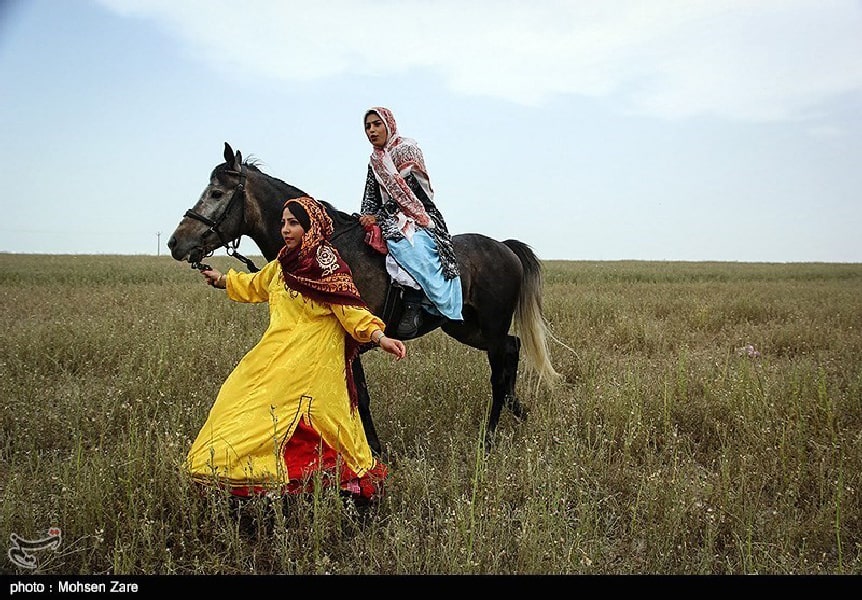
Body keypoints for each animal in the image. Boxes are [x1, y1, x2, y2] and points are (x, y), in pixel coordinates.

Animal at [170, 142, 564, 450]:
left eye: (216, 193)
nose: (176, 242)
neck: (325, 248)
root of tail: (504, 247)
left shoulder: (351, 335)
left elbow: (359, 392)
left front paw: (373, 448)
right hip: (465, 327)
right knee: (512, 349)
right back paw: (518, 411)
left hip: (489, 327)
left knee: (500, 368)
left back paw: (491, 435)